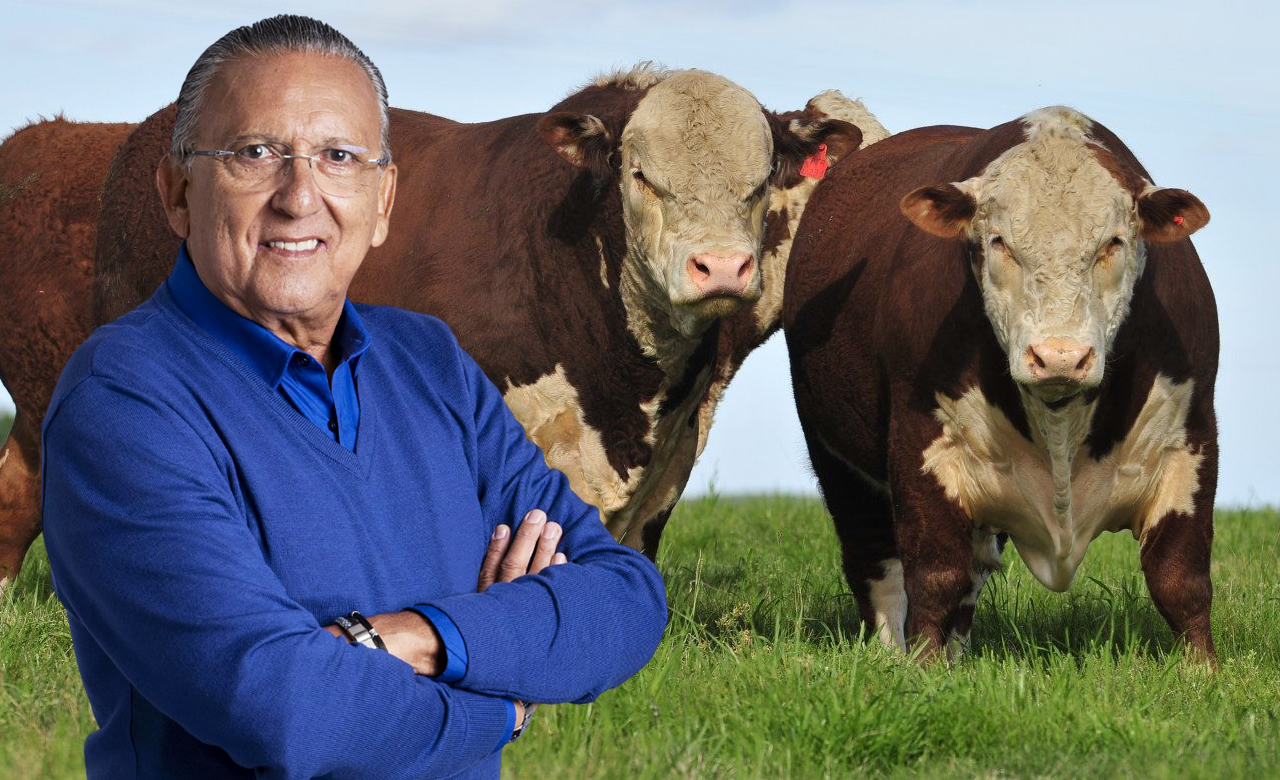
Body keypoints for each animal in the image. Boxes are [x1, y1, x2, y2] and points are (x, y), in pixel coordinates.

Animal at [783, 106, 1213, 660]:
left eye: (1113, 242)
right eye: (999, 242)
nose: (1059, 357)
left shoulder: (1190, 443)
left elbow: (1181, 579)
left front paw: (1202, 670)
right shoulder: (922, 447)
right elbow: (934, 575)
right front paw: (922, 667)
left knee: (975, 569)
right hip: (837, 459)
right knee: (877, 562)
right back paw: (891, 653)